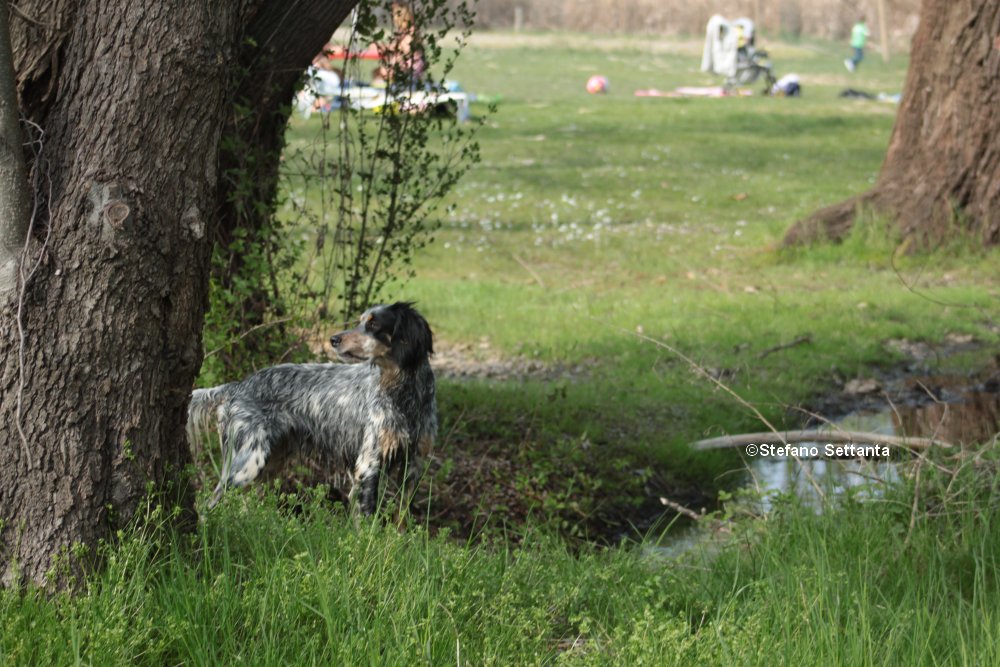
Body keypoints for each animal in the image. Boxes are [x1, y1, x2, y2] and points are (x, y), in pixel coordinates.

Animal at [186, 304, 436, 516]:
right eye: (360, 321)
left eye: (374, 324)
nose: (334, 339)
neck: (404, 392)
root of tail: (237, 386)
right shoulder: (368, 465)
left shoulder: (414, 466)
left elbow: (402, 518)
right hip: (246, 463)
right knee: (209, 504)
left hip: (269, 462)